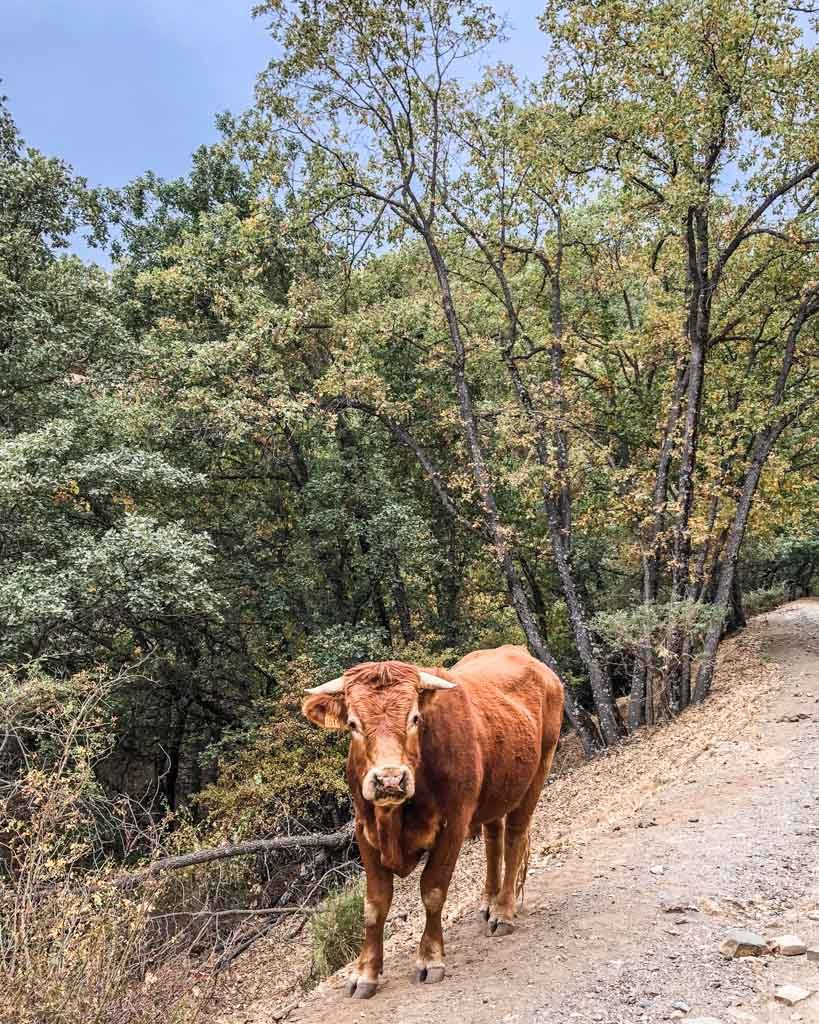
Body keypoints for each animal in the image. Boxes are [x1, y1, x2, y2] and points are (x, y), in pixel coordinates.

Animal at [300, 643, 565, 995]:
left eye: (414, 718)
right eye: (354, 724)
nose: (389, 779)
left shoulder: (453, 825)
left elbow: (433, 891)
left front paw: (430, 959)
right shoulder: (364, 832)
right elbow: (374, 906)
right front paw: (365, 972)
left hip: (538, 771)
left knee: (514, 838)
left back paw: (503, 911)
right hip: (495, 791)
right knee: (493, 838)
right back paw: (488, 901)